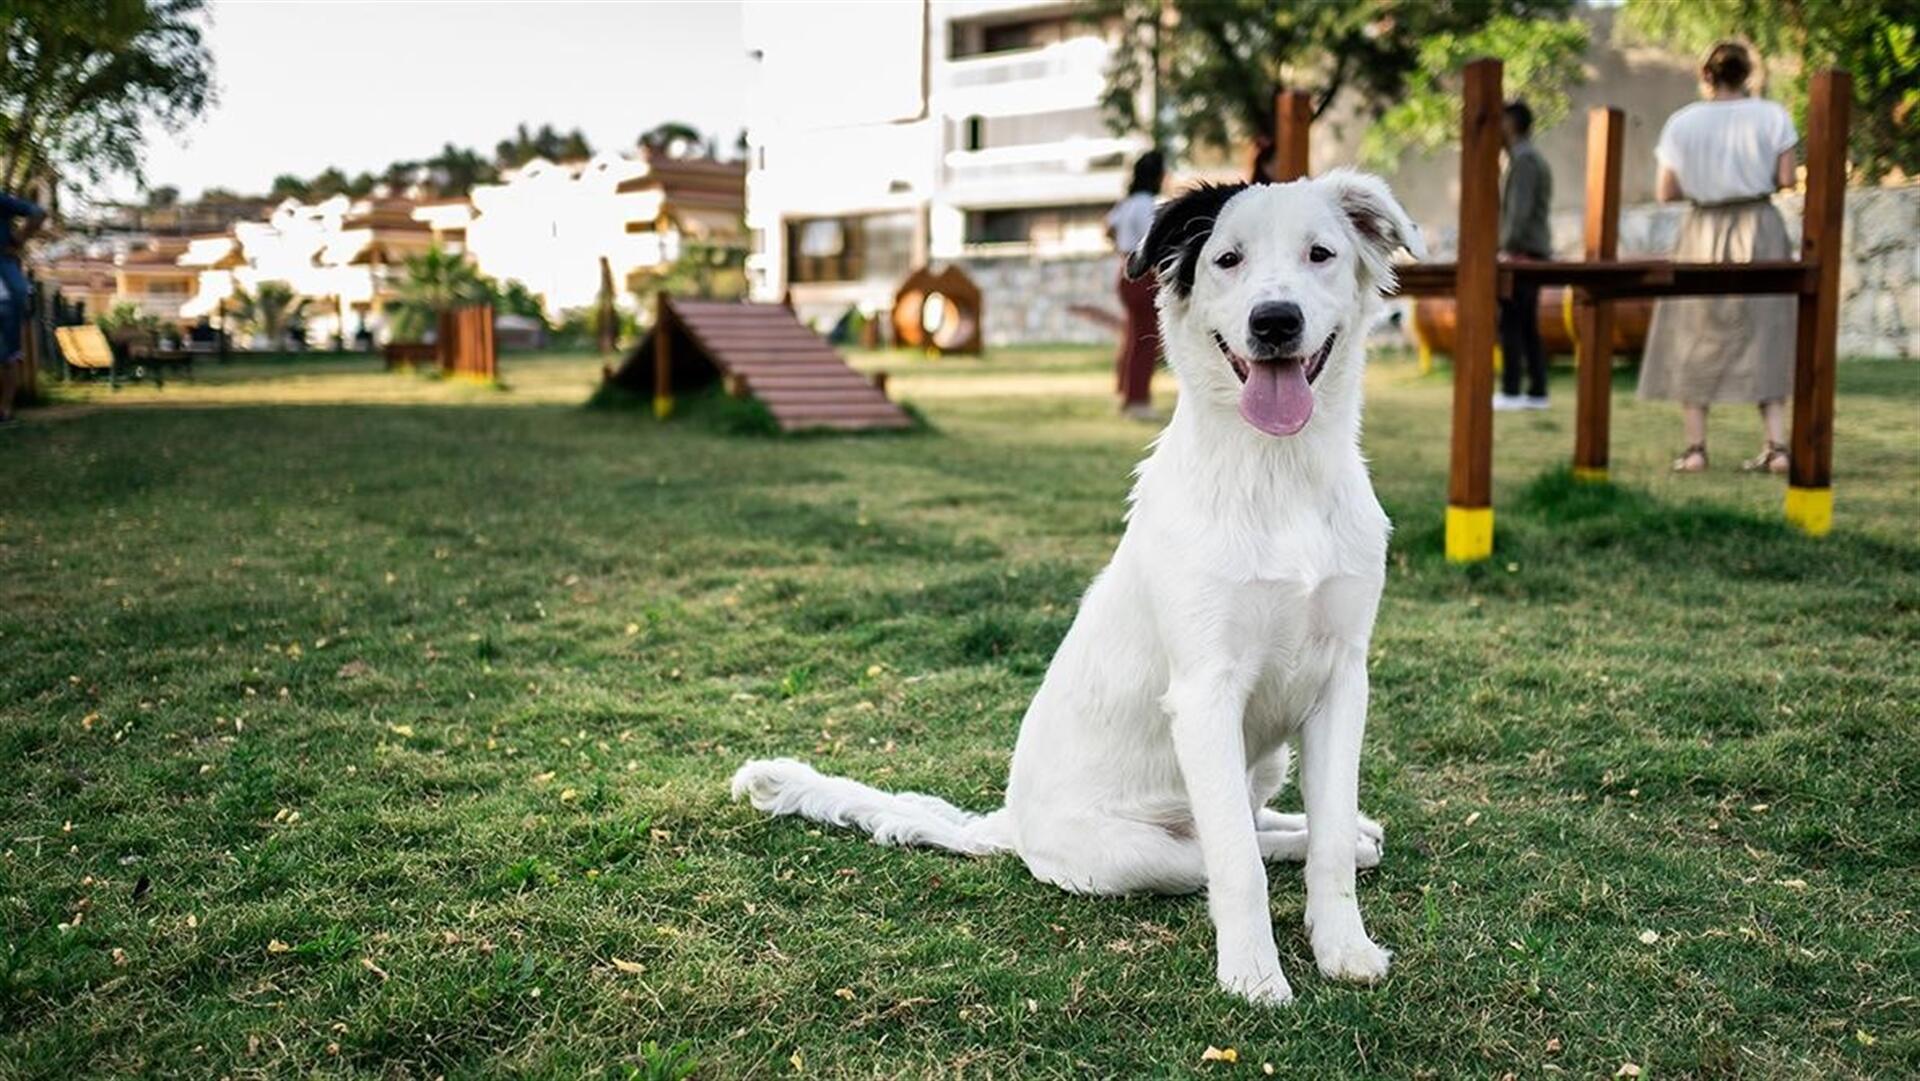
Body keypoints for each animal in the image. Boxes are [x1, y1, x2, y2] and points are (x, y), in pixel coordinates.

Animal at [733, 170, 1428, 1006]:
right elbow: (1238, 863)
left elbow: (1324, 840)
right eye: (1227, 259)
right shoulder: (1205, 692)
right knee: (1227, 847)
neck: (1277, 475)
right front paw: (1254, 974)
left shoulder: (1342, 679)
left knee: (1284, 830)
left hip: (1261, 763)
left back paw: (1354, 836)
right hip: (1146, 847)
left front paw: (1344, 946)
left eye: (1320, 254)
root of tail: (1010, 824)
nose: (1274, 321)